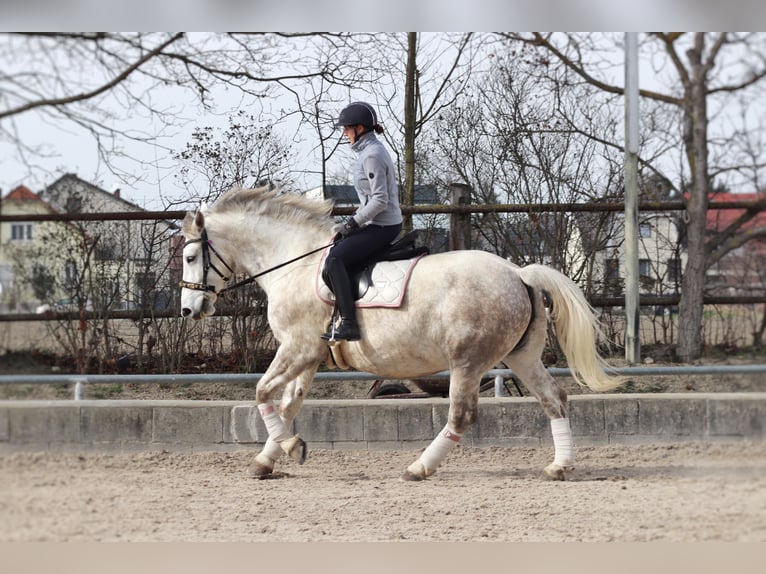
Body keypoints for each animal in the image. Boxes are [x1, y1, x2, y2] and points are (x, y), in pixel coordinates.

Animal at [180, 187, 624, 484]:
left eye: (189, 256)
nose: (189, 309)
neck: (294, 265)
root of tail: (519, 272)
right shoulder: (309, 355)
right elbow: (288, 404)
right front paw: (269, 459)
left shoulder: (296, 348)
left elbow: (261, 393)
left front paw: (288, 449)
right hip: (521, 356)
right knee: (554, 399)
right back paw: (560, 465)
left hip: (467, 361)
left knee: (461, 414)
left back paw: (419, 467)